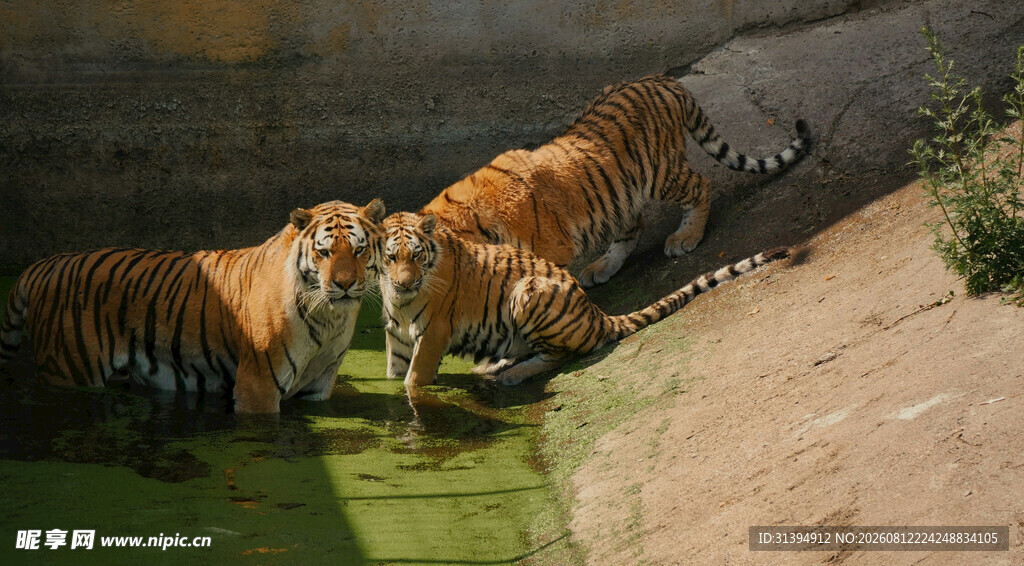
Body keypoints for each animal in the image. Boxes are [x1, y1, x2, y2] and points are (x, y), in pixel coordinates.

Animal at [0, 199, 385, 413]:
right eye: (324, 252)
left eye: (359, 249)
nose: (345, 285)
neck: (330, 318)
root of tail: (44, 264)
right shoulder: (257, 386)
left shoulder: (317, 386)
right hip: (70, 370)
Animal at [379, 211, 788, 387]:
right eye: (391, 257)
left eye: (416, 256)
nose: (403, 284)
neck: (398, 301)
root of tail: (598, 314)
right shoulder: (397, 332)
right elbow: (395, 370)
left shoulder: (433, 332)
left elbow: (414, 378)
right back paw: (492, 366)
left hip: (530, 292)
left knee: (559, 356)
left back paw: (510, 376)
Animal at [420, 73, 809, 288]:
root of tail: (661, 79)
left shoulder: (552, 251)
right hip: (617, 194)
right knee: (631, 227)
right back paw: (602, 267)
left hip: (660, 172)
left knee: (701, 185)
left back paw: (685, 237)